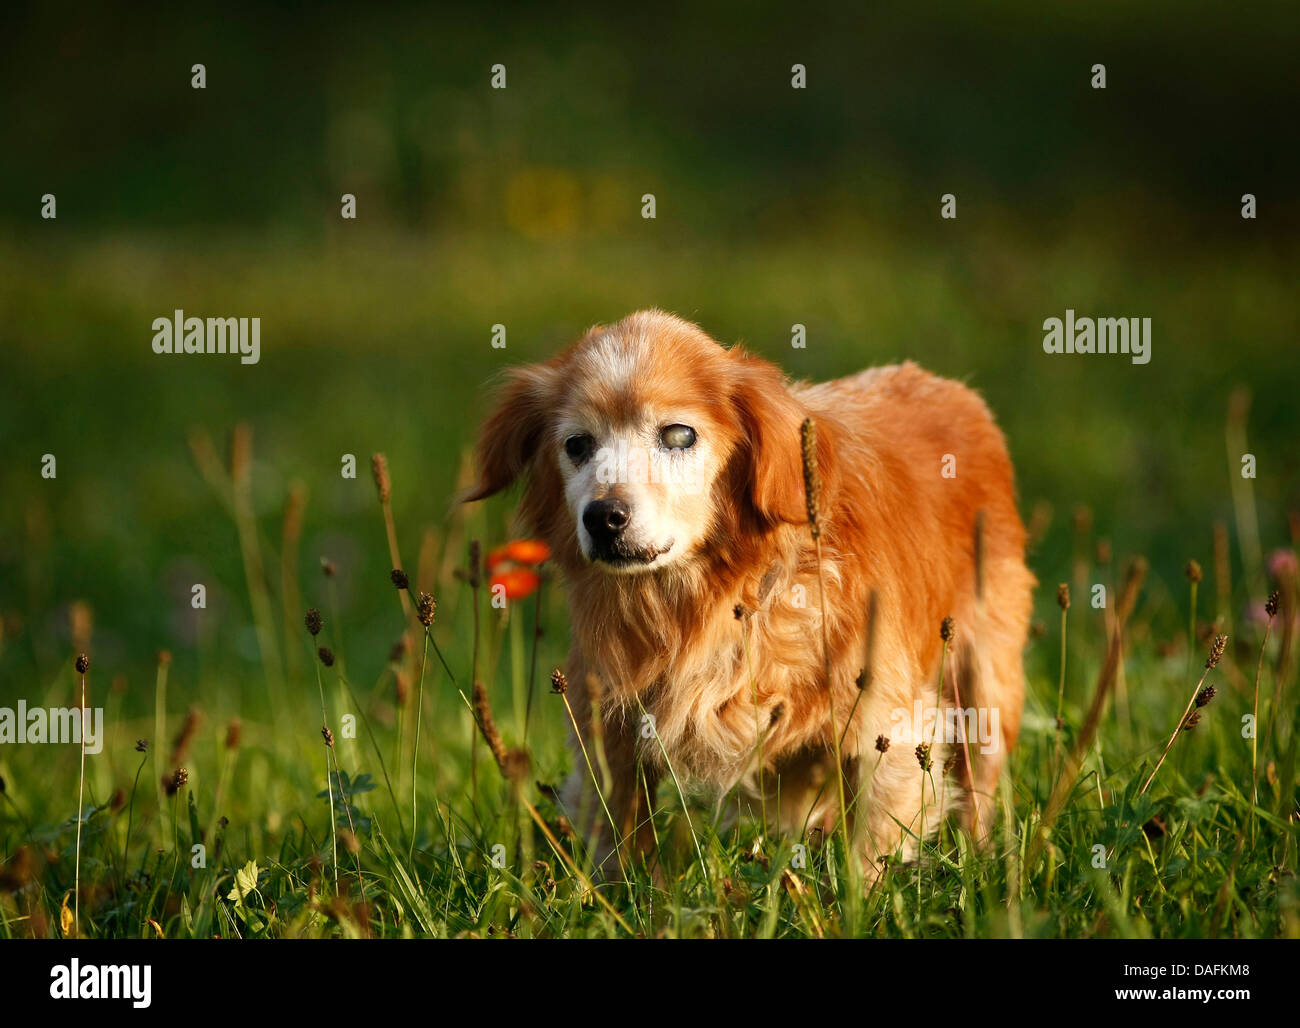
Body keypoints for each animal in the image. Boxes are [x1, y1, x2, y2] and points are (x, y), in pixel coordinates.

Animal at [467, 308, 1034, 878]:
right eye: (577, 445)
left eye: (678, 434)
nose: (604, 517)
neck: (707, 599)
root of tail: (952, 389)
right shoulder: (608, 728)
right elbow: (617, 836)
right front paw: (619, 893)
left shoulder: (892, 727)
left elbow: (871, 853)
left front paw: (858, 893)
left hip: (985, 684)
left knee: (979, 785)